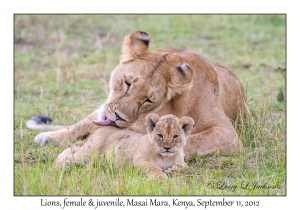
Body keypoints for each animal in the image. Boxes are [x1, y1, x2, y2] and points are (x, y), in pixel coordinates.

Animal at [28, 30, 247, 159]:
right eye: (127, 83)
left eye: (148, 100)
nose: (119, 117)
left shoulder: (226, 132)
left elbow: (190, 140)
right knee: (82, 124)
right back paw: (48, 137)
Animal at [54, 114, 193, 180]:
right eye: (160, 135)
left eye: (175, 136)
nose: (167, 148)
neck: (166, 157)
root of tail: (101, 126)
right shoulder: (140, 159)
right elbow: (153, 167)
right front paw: (161, 177)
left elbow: (185, 165)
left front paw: (173, 170)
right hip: (89, 153)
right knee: (72, 157)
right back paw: (58, 167)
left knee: (76, 145)